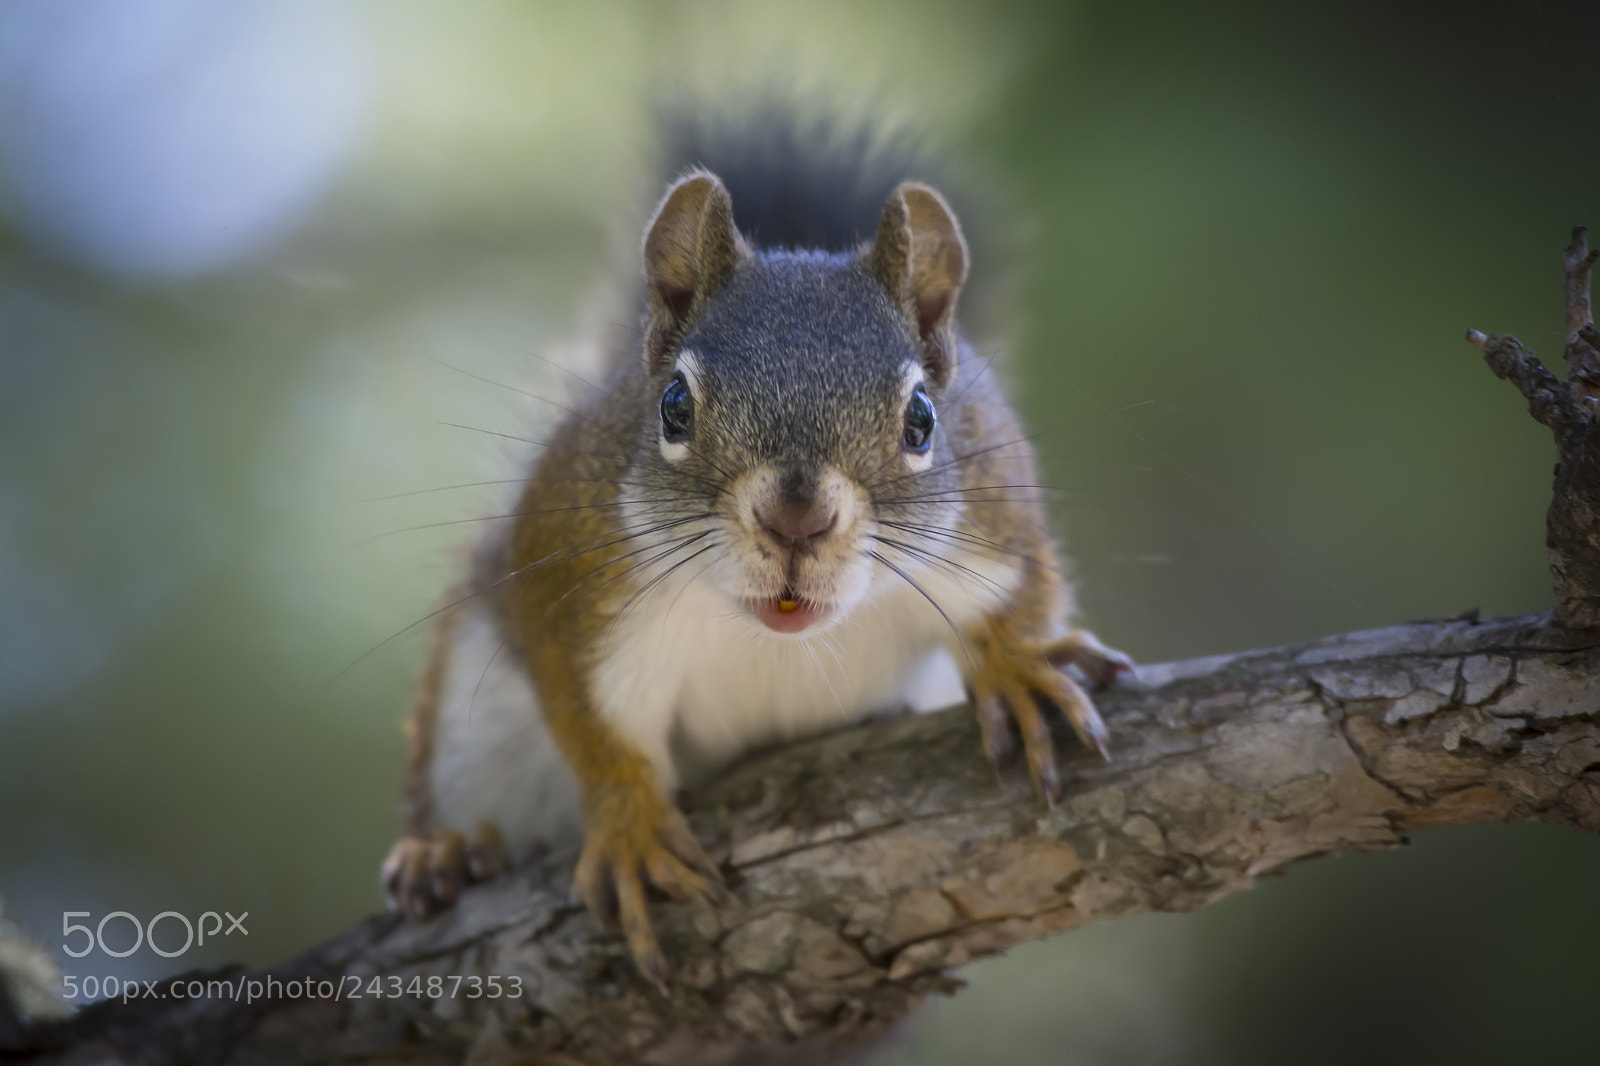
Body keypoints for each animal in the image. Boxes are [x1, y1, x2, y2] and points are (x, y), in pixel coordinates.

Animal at [379, 116, 1133, 985]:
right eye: (674, 405)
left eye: (921, 419)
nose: (796, 520)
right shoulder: (572, 569)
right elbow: (596, 719)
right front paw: (630, 823)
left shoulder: (994, 513)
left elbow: (1019, 593)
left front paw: (1017, 670)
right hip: (475, 728)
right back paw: (450, 850)